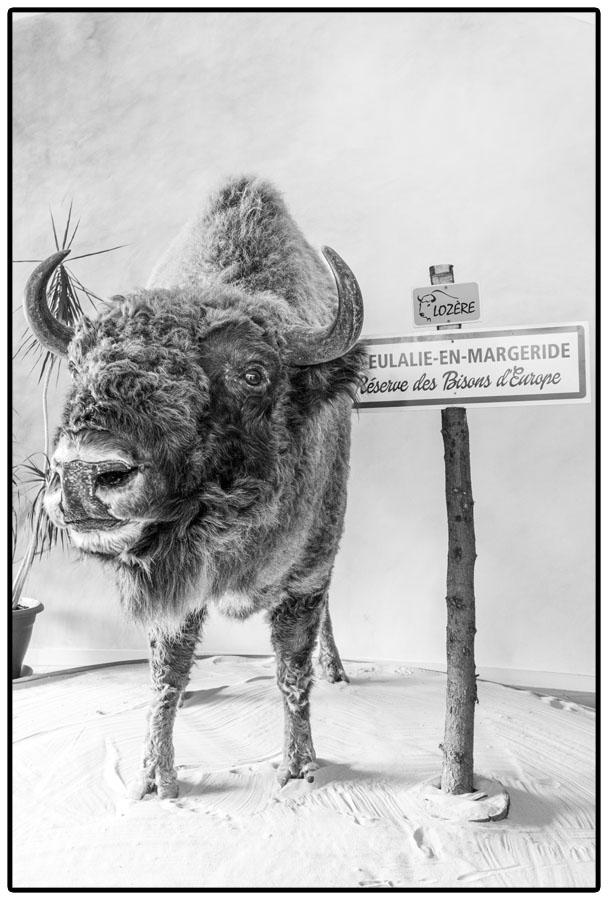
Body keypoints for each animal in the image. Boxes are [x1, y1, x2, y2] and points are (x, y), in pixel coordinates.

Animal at [26, 176, 364, 798]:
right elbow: (168, 669)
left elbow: (291, 669)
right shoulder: (172, 594)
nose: (85, 473)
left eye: (253, 372)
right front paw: (155, 777)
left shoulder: (307, 576)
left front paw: (299, 767)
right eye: (80, 367)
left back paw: (336, 672)